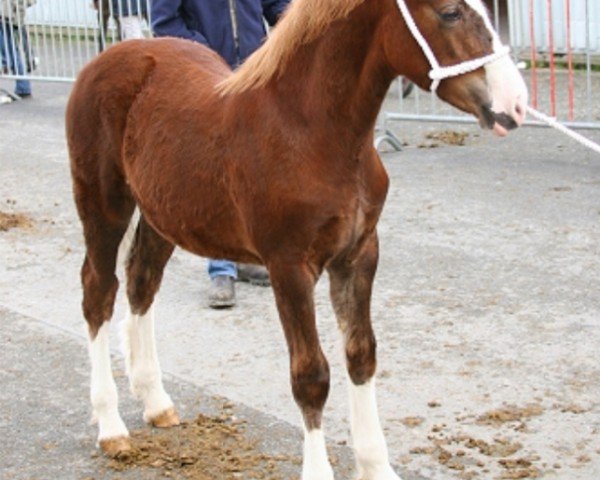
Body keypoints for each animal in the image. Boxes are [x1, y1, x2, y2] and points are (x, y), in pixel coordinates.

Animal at [67, 0, 524, 480]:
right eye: (451, 12)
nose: (514, 104)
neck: (310, 132)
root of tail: (108, 57)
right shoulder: (288, 266)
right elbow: (311, 376)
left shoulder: (359, 255)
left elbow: (361, 355)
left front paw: (376, 465)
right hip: (104, 205)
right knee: (98, 294)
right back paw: (111, 427)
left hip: (163, 214)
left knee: (142, 282)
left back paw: (156, 402)